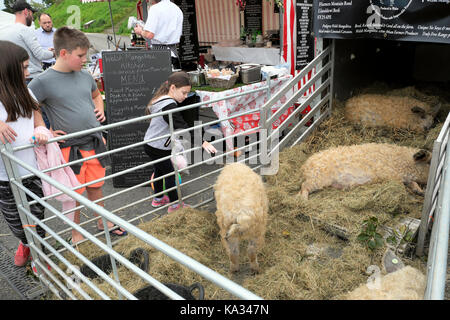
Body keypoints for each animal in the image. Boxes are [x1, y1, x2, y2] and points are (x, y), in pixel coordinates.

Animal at [298, 143, 432, 199]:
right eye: (429, 162)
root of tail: (305, 166)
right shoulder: (390, 174)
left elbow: (412, 184)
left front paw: (420, 192)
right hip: (318, 178)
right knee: (304, 186)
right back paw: (304, 200)